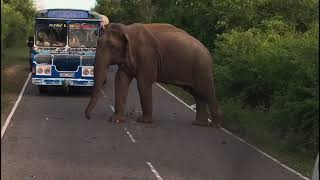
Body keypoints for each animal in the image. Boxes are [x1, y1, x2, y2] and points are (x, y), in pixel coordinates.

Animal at [85, 22, 222, 126]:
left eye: (112, 46)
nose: (88, 117)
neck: (127, 29)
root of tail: (209, 52)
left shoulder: (147, 55)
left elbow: (143, 83)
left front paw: (143, 121)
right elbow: (120, 80)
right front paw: (116, 120)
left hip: (202, 68)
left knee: (206, 91)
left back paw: (215, 125)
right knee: (196, 93)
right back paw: (199, 124)